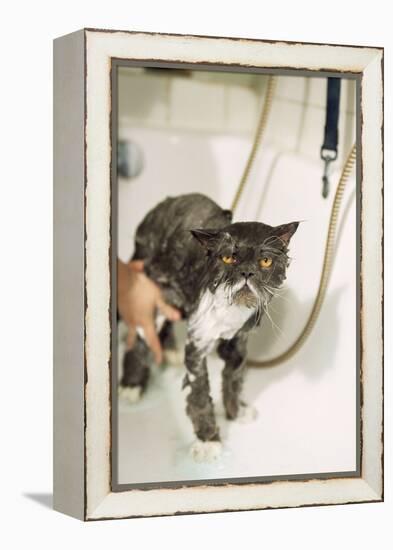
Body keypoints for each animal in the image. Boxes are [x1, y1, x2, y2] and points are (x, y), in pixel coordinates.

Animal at [119, 193, 298, 462]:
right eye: (227, 257)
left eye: (265, 261)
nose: (246, 272)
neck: (232, 310)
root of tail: (163, 205)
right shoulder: (197, 343)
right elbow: (200, 395)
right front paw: (209, 441)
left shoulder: (239, 341)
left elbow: (233, 377)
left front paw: (235, 411)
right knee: (140, 336)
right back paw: (131, 385)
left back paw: (169, 351)